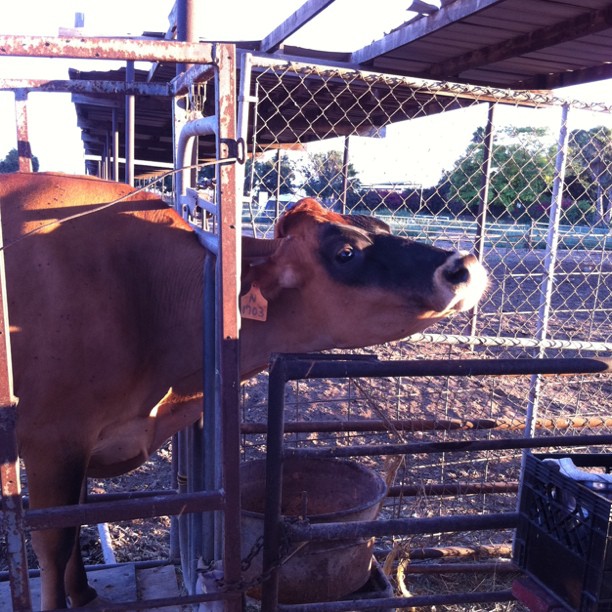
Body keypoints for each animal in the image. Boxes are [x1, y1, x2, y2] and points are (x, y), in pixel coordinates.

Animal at [0, 171, 488, 608]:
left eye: (381, 227)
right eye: (345, 252)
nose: (464, 265)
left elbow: (78, 517)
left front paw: (84, 593)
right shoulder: (54, 439)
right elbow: (54, 540)